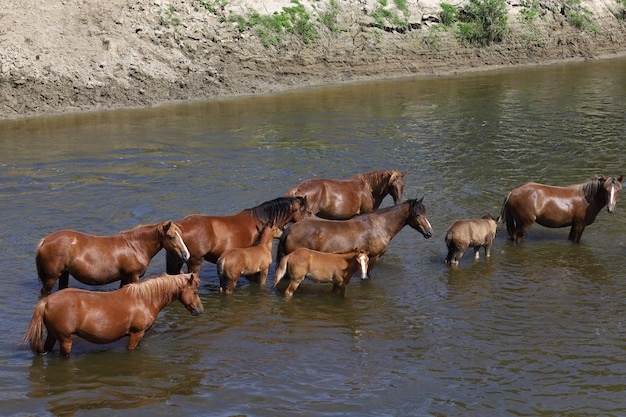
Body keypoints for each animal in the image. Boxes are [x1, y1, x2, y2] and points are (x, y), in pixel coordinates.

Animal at [20, 272, 202, 356]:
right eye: (195, 291)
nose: (200, 310)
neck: (144, 299)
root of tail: (46, 301)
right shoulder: (136, 334)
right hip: (65, 340)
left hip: (52, 336)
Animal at [34, 219, 188, 294]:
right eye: (172, 237)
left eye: (181, 234)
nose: (185, 255)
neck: (135, 245)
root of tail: (45, 241)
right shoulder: (134, 276)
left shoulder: (125, 278)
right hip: (51, 278)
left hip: (64, 274)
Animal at [276, 199, 432, 272]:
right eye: (417, 214)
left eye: (425, 213)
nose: (429, 232)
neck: (379, 226)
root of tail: (290, 229)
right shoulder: (373, 257)